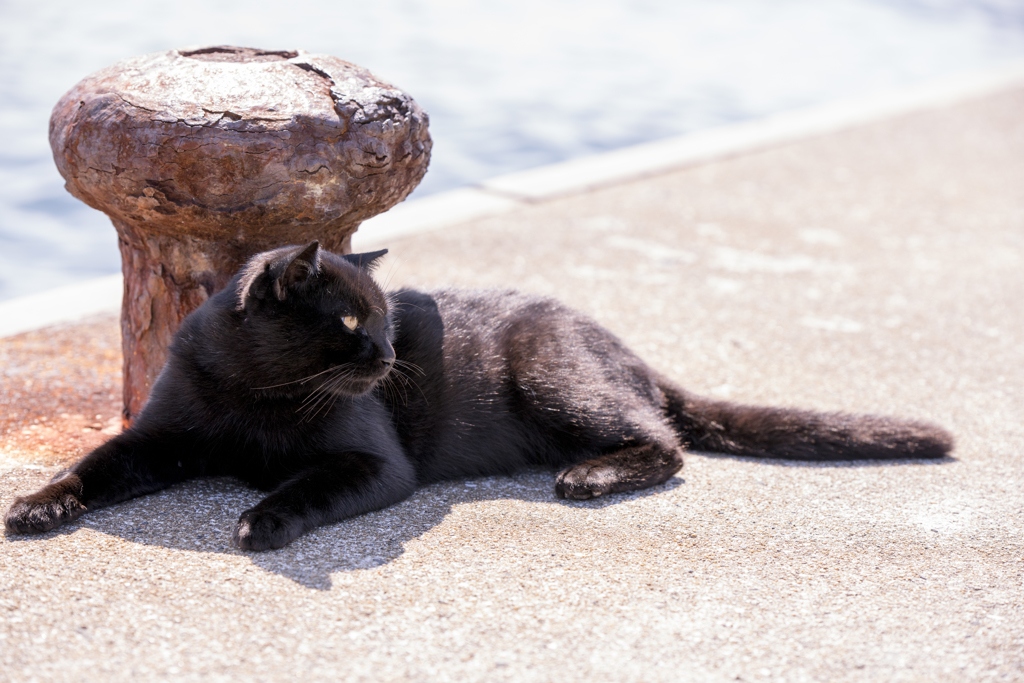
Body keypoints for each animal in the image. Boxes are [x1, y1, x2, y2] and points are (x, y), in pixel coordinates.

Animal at [6, 242, 950, 552]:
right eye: (352, 321)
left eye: (389, 320)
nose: (391, 353)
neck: (256, 393)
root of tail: (620, 341)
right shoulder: (156, 436)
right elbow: (91, 468)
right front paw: (35, 505)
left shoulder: (373, 462)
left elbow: (305, 484)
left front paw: (262, 519)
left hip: (556, 379)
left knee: (665, 441)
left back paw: (588, 478)